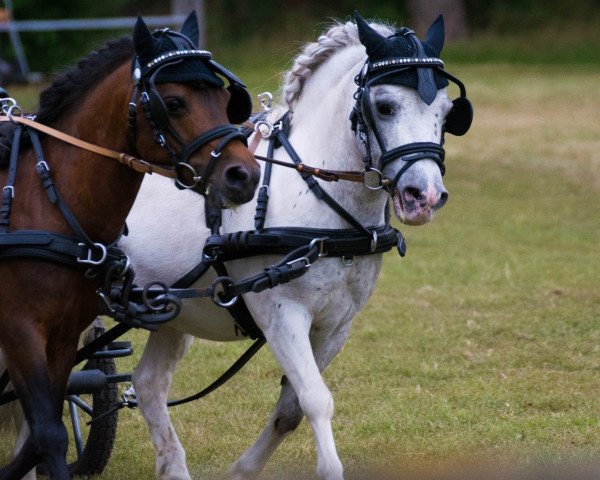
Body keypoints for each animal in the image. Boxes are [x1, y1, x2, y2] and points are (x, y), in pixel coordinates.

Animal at [0, 12, 258, 480]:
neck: (39, 203)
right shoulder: (20, 329)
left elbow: (40, 434)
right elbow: (48, 434)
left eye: (224, 97)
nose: (243, 176)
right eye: (173, 102)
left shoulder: (63, 335)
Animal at [124, 10, 472, 480]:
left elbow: (290, 408)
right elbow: (315, 400)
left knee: (148, 384)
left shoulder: (335, 326)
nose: (426, 196)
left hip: (171, 313)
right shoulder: (282, 315)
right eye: (384, 106)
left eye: (446, 112)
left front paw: (243, 470)